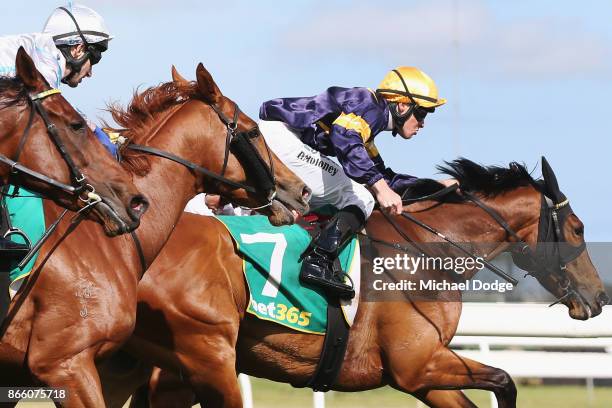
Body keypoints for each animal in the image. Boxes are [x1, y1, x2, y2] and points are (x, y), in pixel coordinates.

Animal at [101, 158, 608, 406]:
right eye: (578, 228)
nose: (599, 296)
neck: (427, 250)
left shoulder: (424, 374)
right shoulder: (416, 364)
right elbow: (505, 381)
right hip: (198, 359)